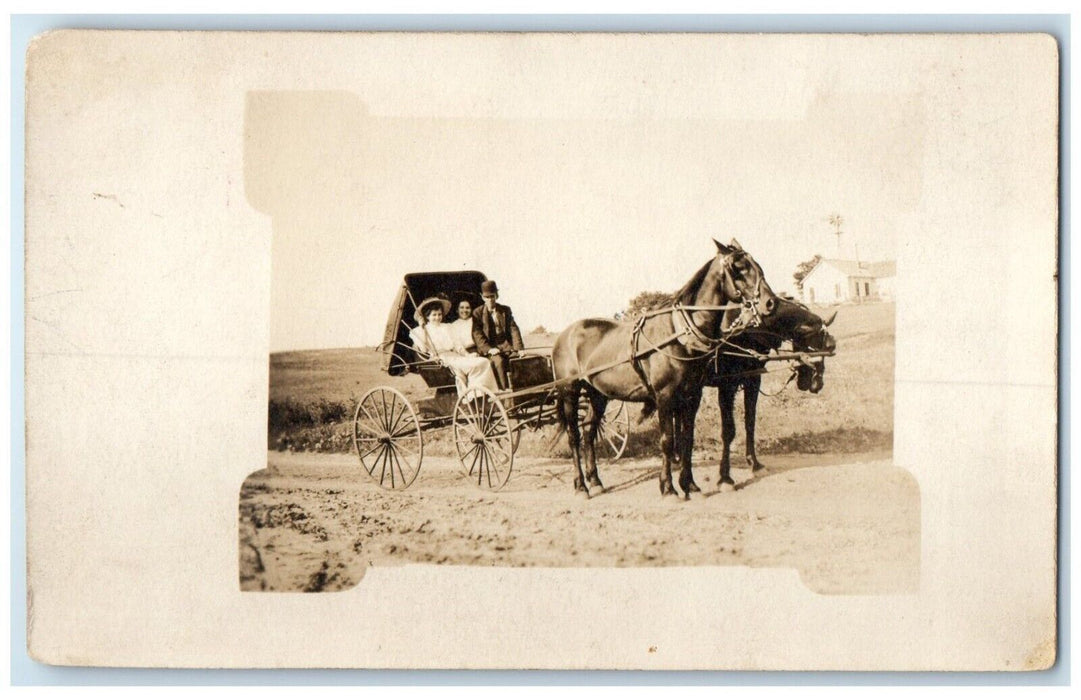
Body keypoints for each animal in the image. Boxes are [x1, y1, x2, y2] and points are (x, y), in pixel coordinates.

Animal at [557, 240, 778, 496]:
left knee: (589, 431)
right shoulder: (666, 395)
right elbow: (668, 440)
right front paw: (670, 488)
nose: (770, 302)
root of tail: (564, 335)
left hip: (598, 394)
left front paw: (690, 484)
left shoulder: (693, 394)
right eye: (739, 268)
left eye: (757, 266)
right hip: (570, 392)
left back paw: (595, 481)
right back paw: (581, 485)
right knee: (574, 436)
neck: (680, 333)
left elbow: (688, 438)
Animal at [709, 298, 834, 490]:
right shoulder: (727, 384)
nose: (817, 385)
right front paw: (725, 478)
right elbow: (728, 431)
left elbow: (750, 422)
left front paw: (755, 464)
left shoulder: (753, 379)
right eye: (823, 346)